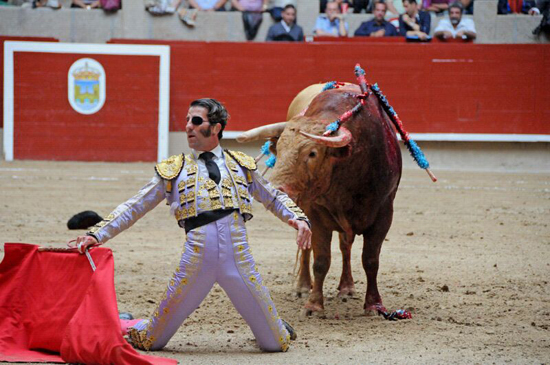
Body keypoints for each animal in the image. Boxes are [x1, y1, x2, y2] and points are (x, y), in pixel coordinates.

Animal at [239, 81, 404, 314]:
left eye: (312, 153)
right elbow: (321, 260)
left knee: (345, 246)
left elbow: (371, 260)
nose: (277, 189)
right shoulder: (315, 214)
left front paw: (373, 304)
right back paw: (302, 286)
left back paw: (347, 287)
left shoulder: (384, 214)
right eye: (278, 149)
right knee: (307, 247)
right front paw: (314, 304)